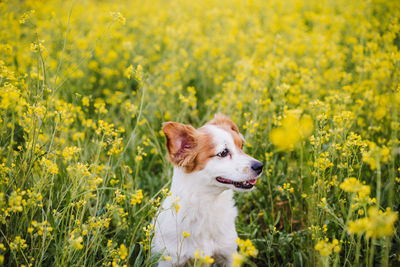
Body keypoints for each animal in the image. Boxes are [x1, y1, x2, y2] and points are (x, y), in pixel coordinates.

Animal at [152, 114, 262, 266]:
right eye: (223, 153)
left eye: (241, 146)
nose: (260, 166)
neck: (209, 203)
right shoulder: (170, 259)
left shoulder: (228, 253)